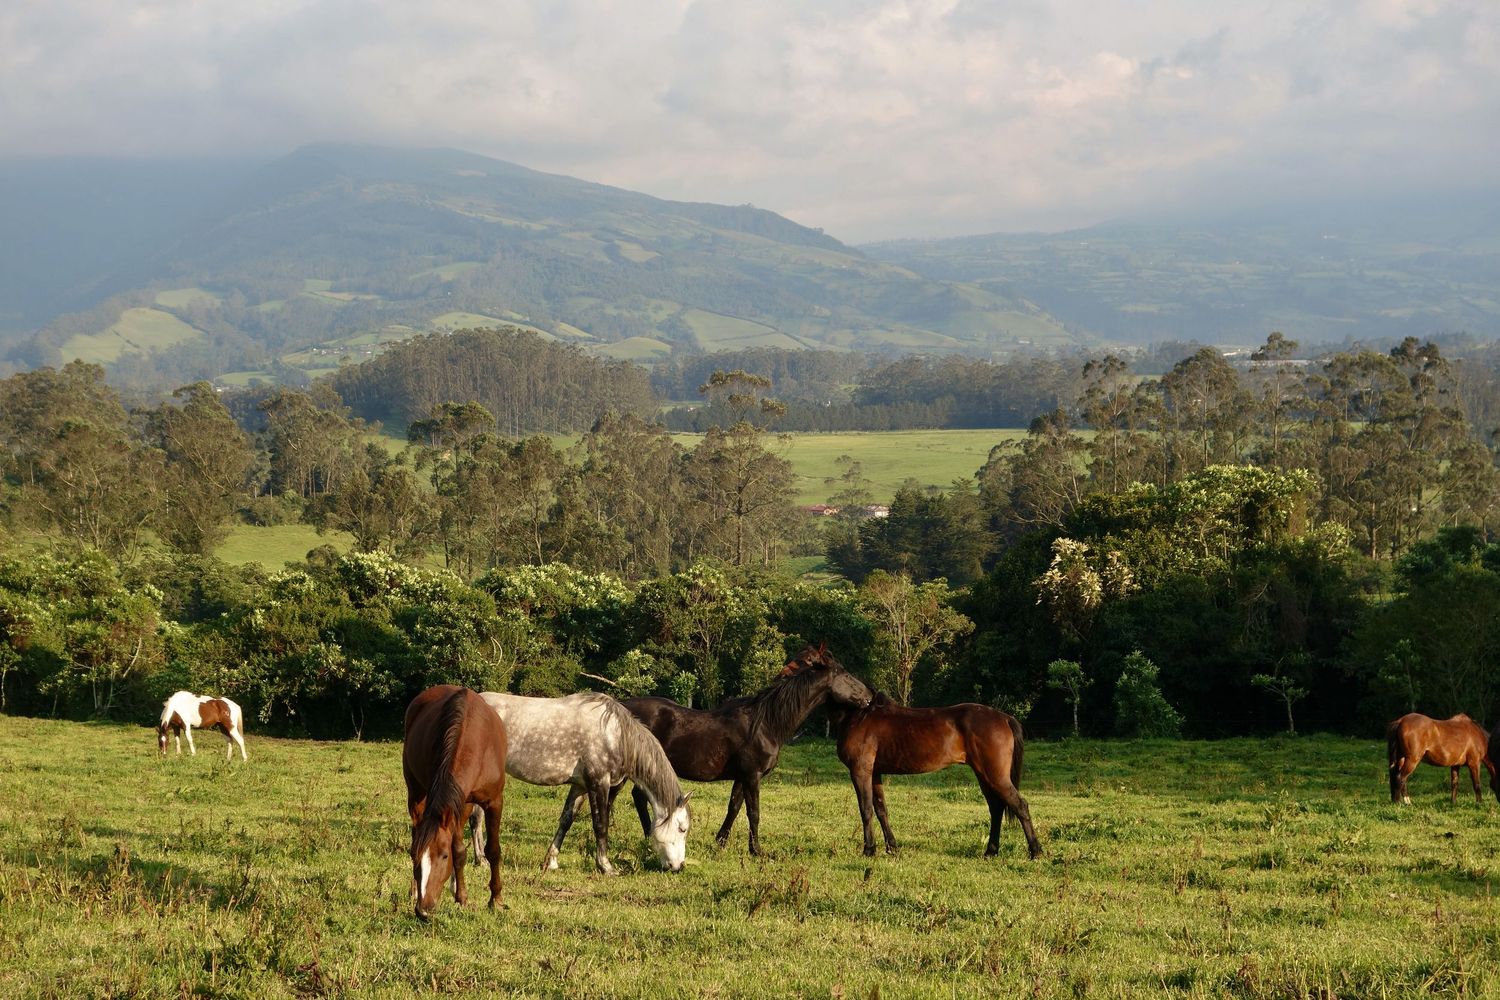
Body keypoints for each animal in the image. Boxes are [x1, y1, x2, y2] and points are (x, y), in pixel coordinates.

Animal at [403, 685, 507, 920]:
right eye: (415, 855)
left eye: (443, 856)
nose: (423, 910)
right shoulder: (455, 803)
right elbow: (459, 852)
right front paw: (462, 897)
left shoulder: (492, 801)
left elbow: (492, 850)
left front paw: (495, 899)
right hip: (417, 792)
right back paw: (414, 890)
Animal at [479, 691, 690, 874]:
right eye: (682, 828)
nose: (678, 866)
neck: (615, 735)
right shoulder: (598, 783)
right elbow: (600, 824)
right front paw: (606, 866)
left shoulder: (580, 786)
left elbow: (566, 820)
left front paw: (551, 862)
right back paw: (481, 860)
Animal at [621, 641, 873, 856]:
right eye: (845, 674)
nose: (869, 696)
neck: (765, 723)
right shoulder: (753, 775)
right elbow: (754, 813)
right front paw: (756, 851)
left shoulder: (742, 777)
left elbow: (733, 807)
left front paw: (720, 842)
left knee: (639, 797)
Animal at [824, 692, 1043, 859]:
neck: (857, 717)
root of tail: (1005, 718)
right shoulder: (875, 773)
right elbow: (880, 810)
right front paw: (891, 848)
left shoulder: (860, 772)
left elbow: (866, 809)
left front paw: (869, 850)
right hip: (985, 777)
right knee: (996, 809)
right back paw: (991, 852)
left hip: (996, 777)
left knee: (1020, 805)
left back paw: (1036, 852)